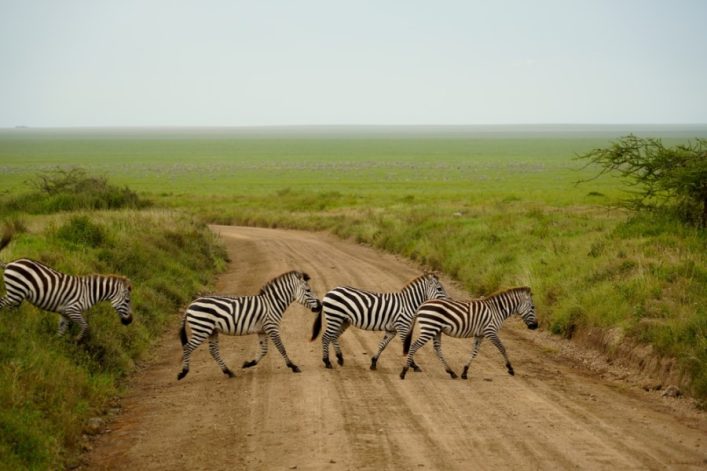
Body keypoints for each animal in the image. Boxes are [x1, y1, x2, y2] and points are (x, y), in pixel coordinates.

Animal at [0, 234, 133, 342]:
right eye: (127, 301)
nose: (130, 321)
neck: (89, 292)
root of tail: (11, 263)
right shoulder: (72, 310)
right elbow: (85, 326)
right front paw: (77, 340)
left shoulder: (65, 313)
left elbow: (62, 330)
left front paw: (56, 346)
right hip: (15, 293)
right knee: (2, 303)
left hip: (17, 294)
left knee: (10, 309)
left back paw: (12, 326)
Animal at [177, 270, 322, 380]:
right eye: (308, 290)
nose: (320, 306)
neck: (272, 303)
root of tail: (190, 305)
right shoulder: (272, 327)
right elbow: (281, 348)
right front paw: (293, 366)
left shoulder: (262, 330)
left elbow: (264, 350)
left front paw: (248, 363)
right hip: (201, 330)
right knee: (187, 347)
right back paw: (183, 373)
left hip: (212, 331)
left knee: (213, 351)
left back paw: (228, 372)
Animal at [311, 273, 448, 371]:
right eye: (439, 288)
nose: (448, 301)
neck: (408, 304)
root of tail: (330, 291)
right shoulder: (402, 327)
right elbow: (408, 347)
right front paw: (414, 366)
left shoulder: (392, 330)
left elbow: (382, 345)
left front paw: (373, 362)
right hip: (335, 317)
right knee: (326, 337)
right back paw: (327, 362)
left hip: (343, 320)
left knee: (333, 336)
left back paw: (340, 358)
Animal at [400, 286, 538, 380]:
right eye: (533, 307)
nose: (536, 326)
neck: (497, 310)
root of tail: (422, 305)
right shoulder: (490, 331)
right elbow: (502, 348)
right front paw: (510, 369)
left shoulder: (480, 334)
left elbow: (474, 352)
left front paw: (465, 372)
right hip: (429, 328)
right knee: (414, 346)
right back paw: (404, 371)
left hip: (436, 330)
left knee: (437, 349)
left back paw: (451, 372)